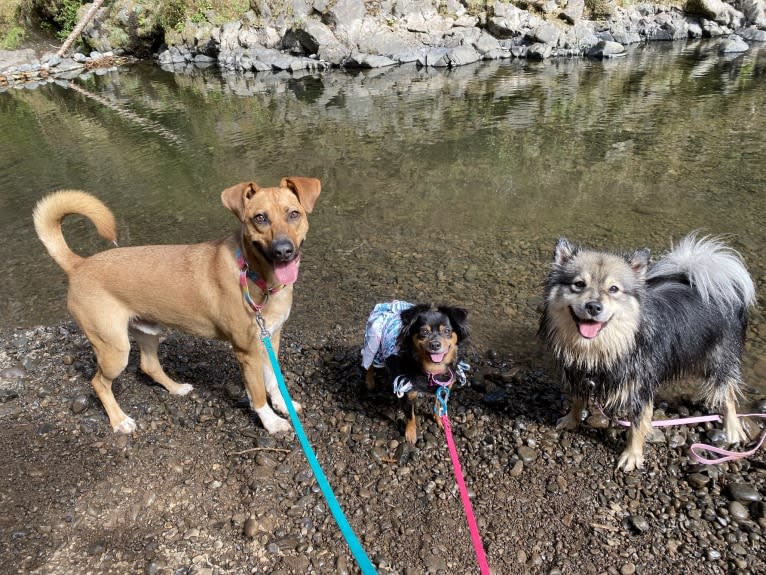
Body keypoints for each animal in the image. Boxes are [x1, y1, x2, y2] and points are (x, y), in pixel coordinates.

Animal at [32, 178, 320, 434]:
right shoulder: (246, 351)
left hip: (147, 331)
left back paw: (176, 388)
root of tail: (78, 265)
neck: (255, 275)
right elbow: (258, 393)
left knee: (148, 365)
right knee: (99, 383)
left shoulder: (271, 338)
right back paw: (119, 421)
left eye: (294, 214)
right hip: (114, 349)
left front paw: (283, 405)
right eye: (260, 218)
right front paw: (271, 422)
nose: (283, 250)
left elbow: (274, 380)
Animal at [364, 304, 472, 444]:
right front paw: (411, 434)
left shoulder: (442, 389)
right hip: (374, 346)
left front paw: (440, 421)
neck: (432, 369)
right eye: (424, 332)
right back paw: (369, 382)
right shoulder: (408, 391)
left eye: (447, 331)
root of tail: (387, 304)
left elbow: (439, 407)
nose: (435, 344)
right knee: (369, 364)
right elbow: (411, 416)